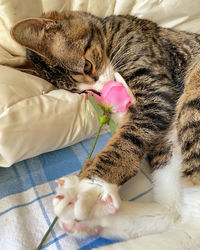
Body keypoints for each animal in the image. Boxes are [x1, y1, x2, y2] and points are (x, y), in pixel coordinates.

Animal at [10, 11, 200, 250]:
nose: (104, 88)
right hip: (169, 152)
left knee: (192, 222)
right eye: (85, 92)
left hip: (194, 99)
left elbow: (127, 139)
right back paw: (95, 218)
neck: (108, 31)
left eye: (87, 66)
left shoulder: (156, 89)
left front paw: (91, 185)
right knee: (176, 212)